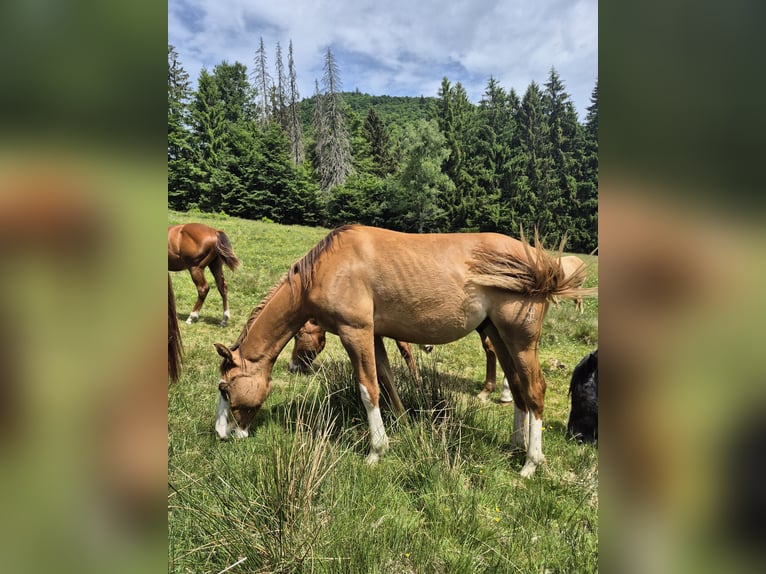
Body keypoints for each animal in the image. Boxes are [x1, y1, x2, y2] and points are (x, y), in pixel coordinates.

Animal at [213, 225, 589, 478]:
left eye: (225, 388)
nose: (223, 434)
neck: (329, 267)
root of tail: (540, 264)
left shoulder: (356, 333)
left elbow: (368, 389)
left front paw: (376, 451)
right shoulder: (375, 335)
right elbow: (387, 381)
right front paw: (403, 424)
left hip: (520, 340)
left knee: (535, 390)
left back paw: (530, 463)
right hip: (498, 335)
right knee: (519, 389)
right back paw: (516, 443)